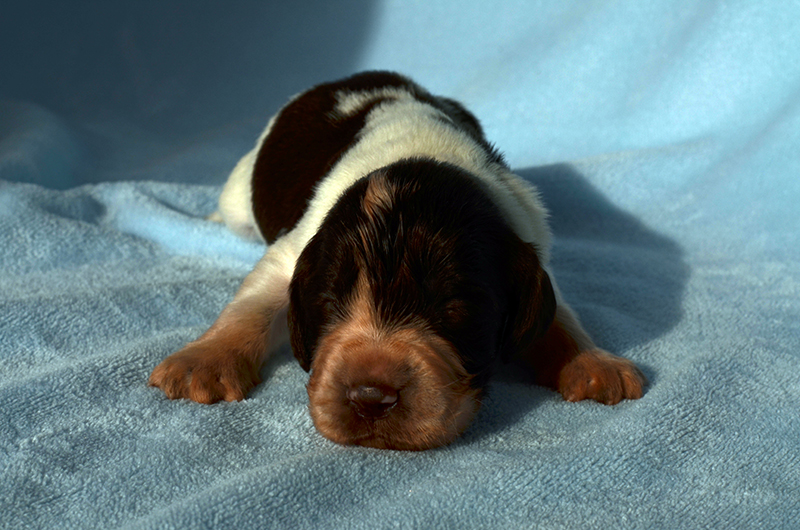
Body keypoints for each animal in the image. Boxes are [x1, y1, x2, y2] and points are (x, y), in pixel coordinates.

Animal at [150, 71, 648, 450]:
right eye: (328, 304)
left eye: (455, 309)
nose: (370, 398)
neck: (421, 157)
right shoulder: (291, 253)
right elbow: (250, 306)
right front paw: (201, 363)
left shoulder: (529, 239)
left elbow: (561, 314)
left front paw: (593, 363)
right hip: (241, 192)